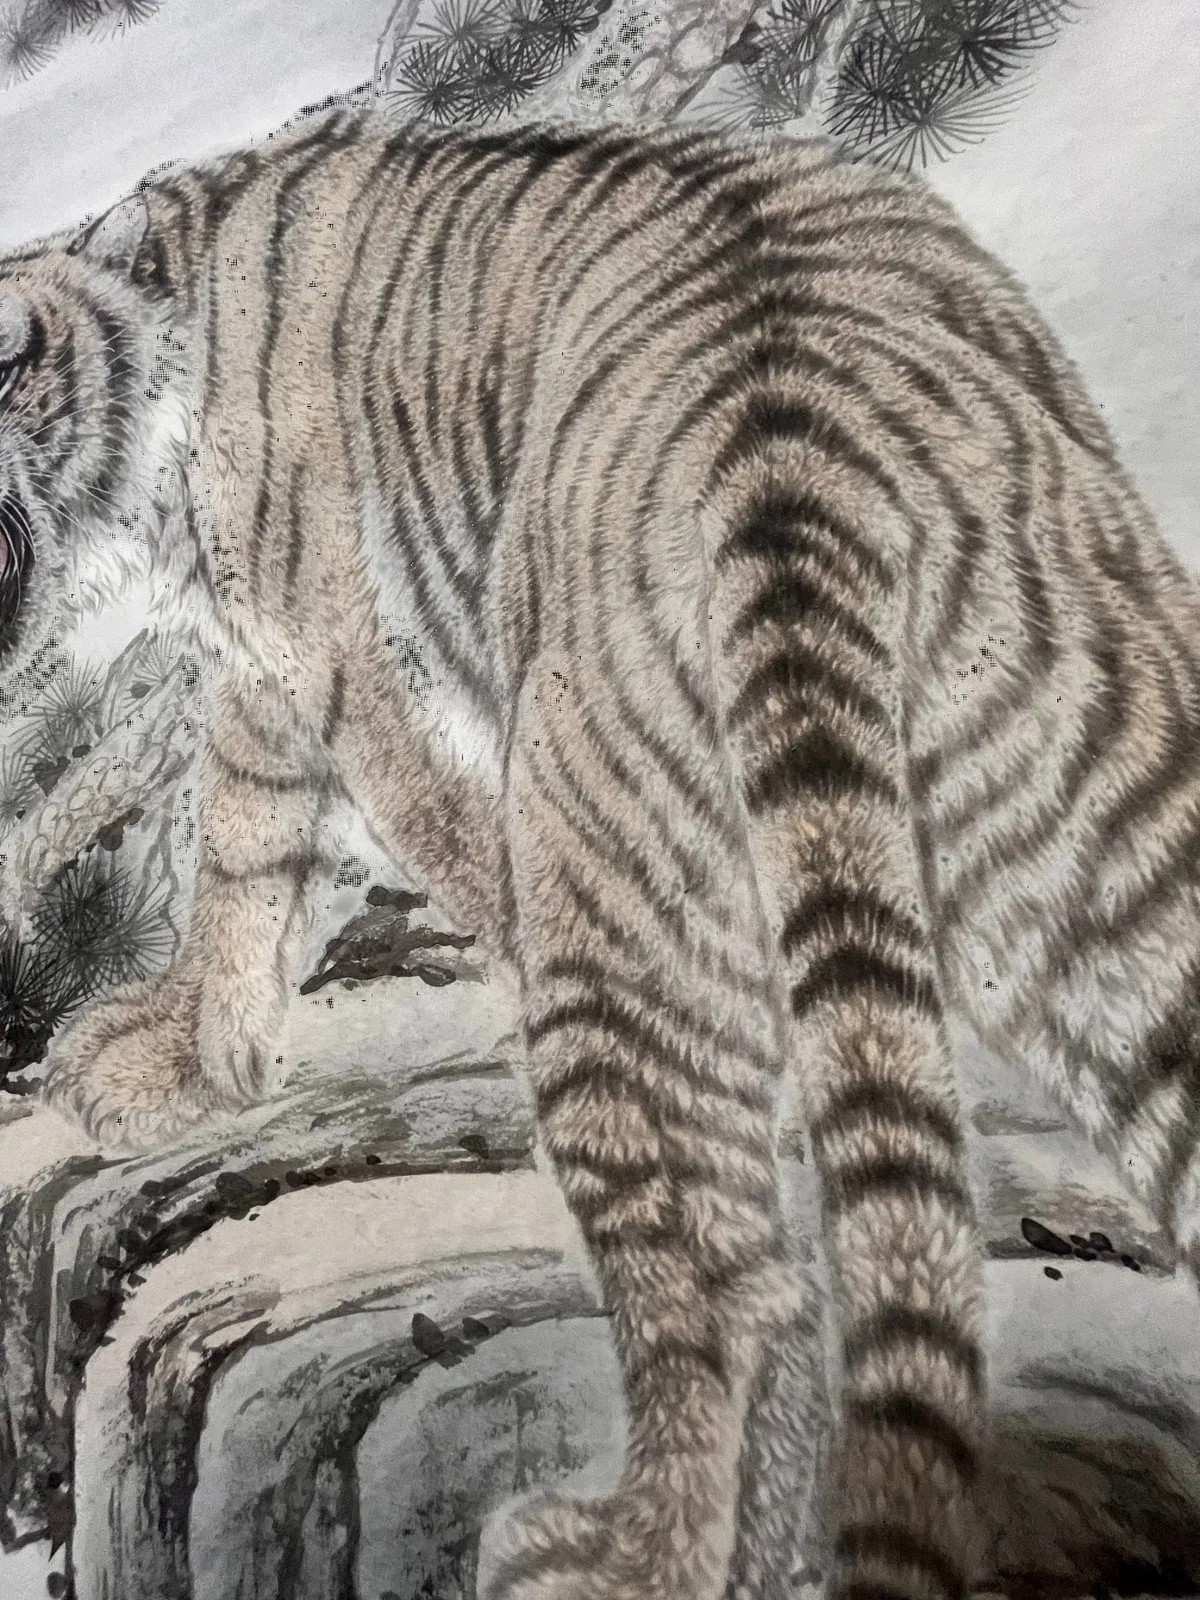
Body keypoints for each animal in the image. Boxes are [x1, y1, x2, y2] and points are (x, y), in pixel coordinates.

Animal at [0, 107, 1196, 1600]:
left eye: (10, 357)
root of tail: (804, 438)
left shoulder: (342, 663)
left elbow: (337, 832)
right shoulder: (271, 680)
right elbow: (245, 844)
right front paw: (194, 1060)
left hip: (608, 948)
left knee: (742, 1288)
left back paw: (627, 1549)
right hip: (1106, 853)